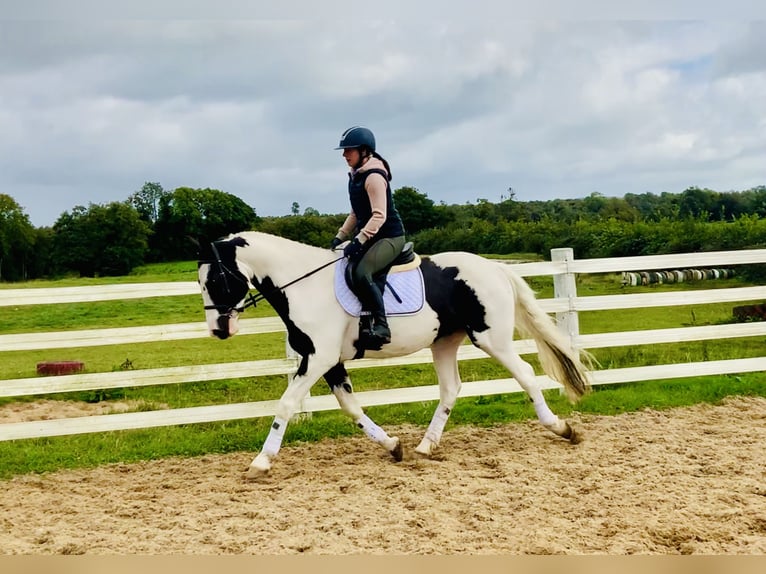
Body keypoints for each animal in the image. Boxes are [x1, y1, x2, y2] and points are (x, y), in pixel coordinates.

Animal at [198, 232, 592, 480]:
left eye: (215, 280)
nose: (218, 330)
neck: (304, 286)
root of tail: (494, 267)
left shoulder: (318, 359)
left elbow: (286, 404)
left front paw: (261, 463)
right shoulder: (331, 362)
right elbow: (351, 408)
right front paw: (393, 446)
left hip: (491, 338)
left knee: (524, 373)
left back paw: (562, 428)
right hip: (444, 342)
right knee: (450, 388)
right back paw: (425, 447)